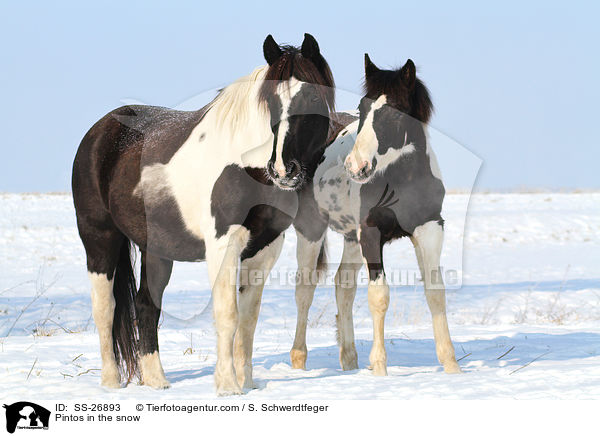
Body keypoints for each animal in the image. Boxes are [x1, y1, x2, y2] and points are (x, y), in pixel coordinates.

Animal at [72, 34, 336, 396]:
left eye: (311, 96)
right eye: (270, 100)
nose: (284, 169)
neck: (246, 165)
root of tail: (100, 131)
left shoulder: (264, 249)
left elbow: (248, 319)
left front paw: (247, 382)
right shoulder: (223, 244)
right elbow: (227, 314)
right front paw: (227, 386)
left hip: (156, 251)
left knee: (146, 305)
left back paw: (157, 381)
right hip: (99, 239)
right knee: (105, 309)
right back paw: (111, 382)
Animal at [288, 53, 462, 374]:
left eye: (395, 113)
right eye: (362, 108)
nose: (355, 166)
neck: (402, 179)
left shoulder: (430, 228)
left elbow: (435, 292)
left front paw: (452, 367)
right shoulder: (371, 234)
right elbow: (379, 296)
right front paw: (380, 368)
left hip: (350, 238)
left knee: (343, 286)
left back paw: (349, 361)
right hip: (312, 231)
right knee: (304, 289)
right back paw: (298, 361)